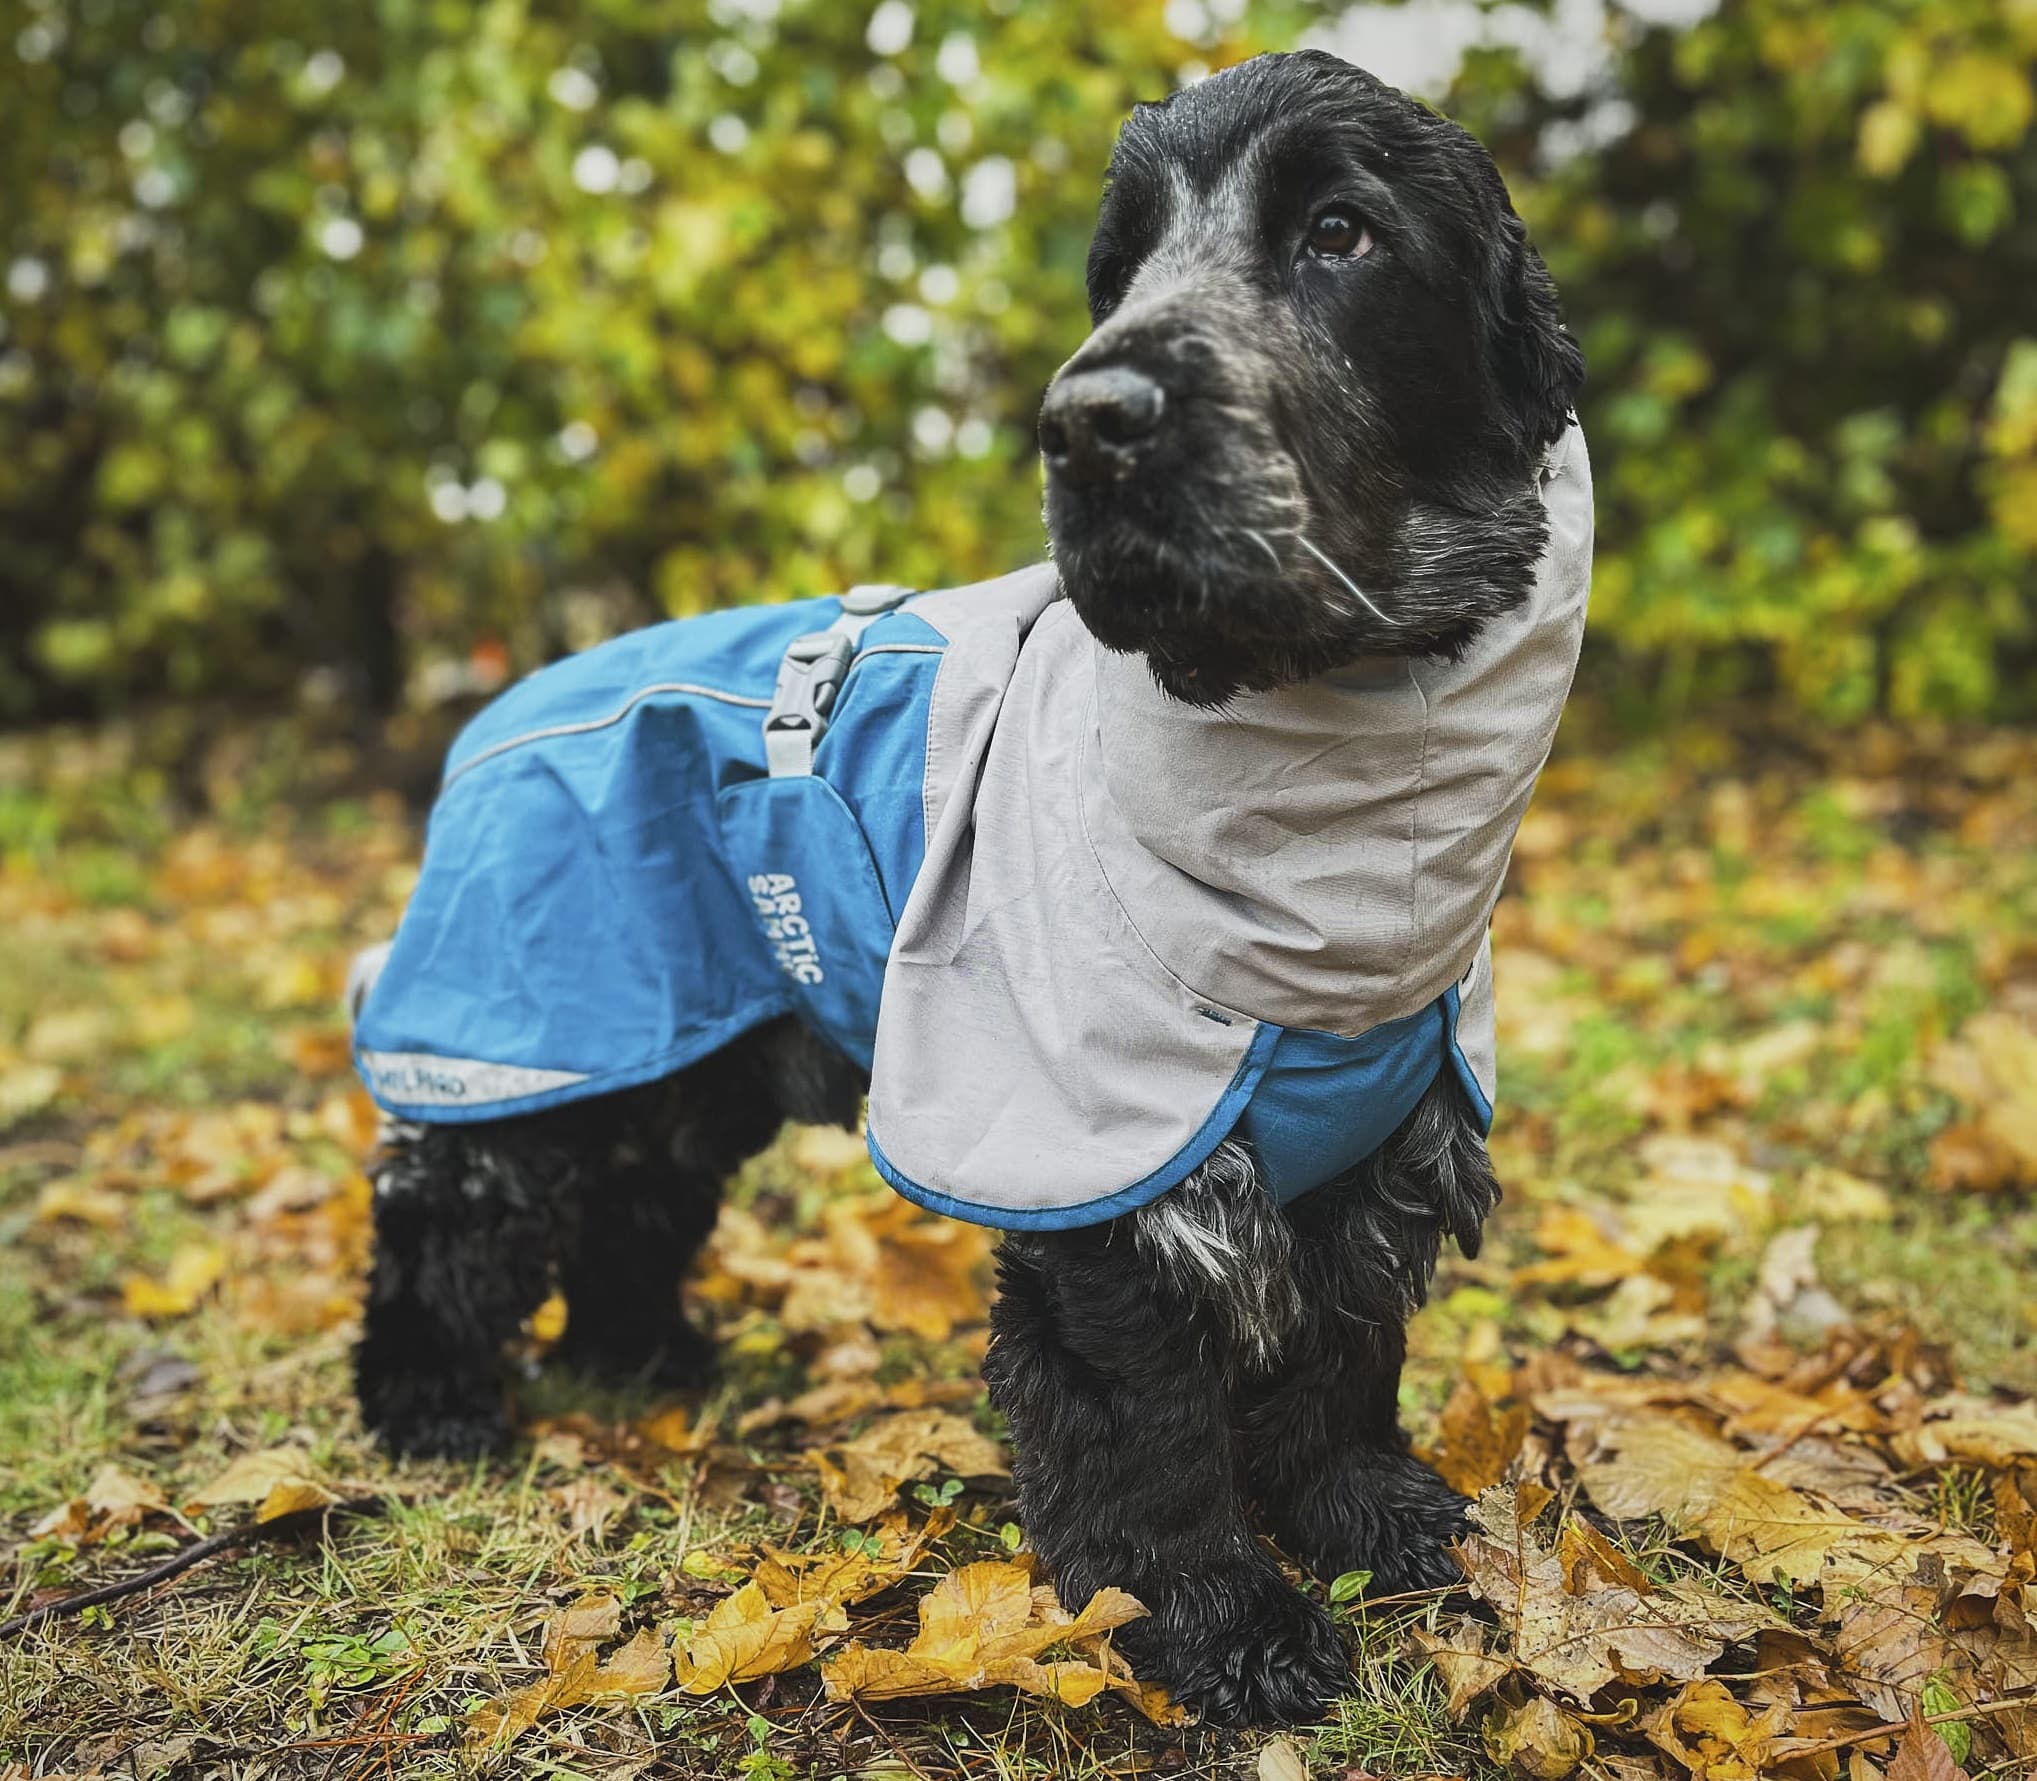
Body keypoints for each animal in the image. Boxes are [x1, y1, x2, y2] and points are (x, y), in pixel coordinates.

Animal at [354, 51, 1588, 1719]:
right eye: (1120, 264)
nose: (1085, 421)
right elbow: (1149, 1432)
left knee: (635, 1204)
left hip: (696, 1055)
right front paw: (1223, 1623)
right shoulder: (1098, 1170)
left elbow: (1342, 1364)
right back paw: (427, 1404)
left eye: (1342, 230)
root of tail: (493, 709)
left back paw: (646, 1358)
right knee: (446, 1210)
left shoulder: (1375, 1142)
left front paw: (1375, 1519)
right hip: (539, 1031)